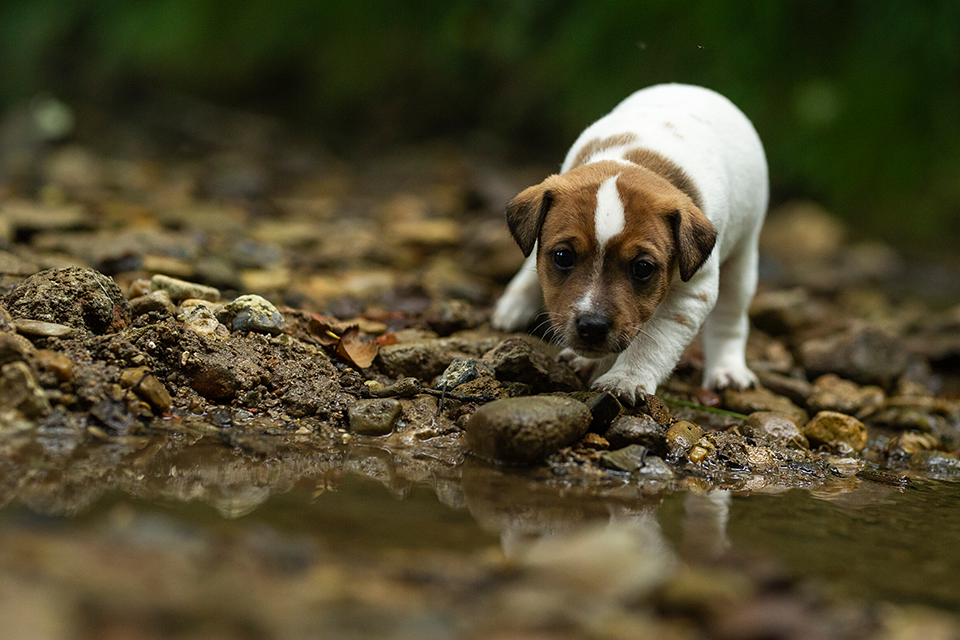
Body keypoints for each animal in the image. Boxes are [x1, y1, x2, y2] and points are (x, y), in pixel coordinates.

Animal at [492, 82, 768, 402]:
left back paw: (728, 370)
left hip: (742, 258)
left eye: (643, 268)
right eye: (562, 257)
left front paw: (625, 378)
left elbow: (652, 342)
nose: (592, 327)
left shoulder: (691, 294)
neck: (637, 162)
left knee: (730, 319)